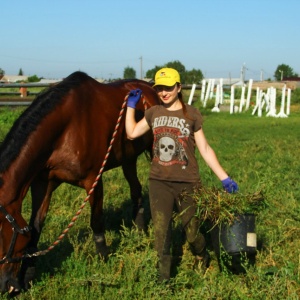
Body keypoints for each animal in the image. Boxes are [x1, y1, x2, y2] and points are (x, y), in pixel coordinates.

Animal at [0, 71, 161, 294]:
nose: (6, 286)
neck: (66, 127)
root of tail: (150, 89)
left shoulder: (93, 180)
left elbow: (96, 221)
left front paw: (103, 259)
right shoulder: (43, 184)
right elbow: (35, 228)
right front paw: (28, 276)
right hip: (128, 158)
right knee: (136, 190)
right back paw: (139, 229)